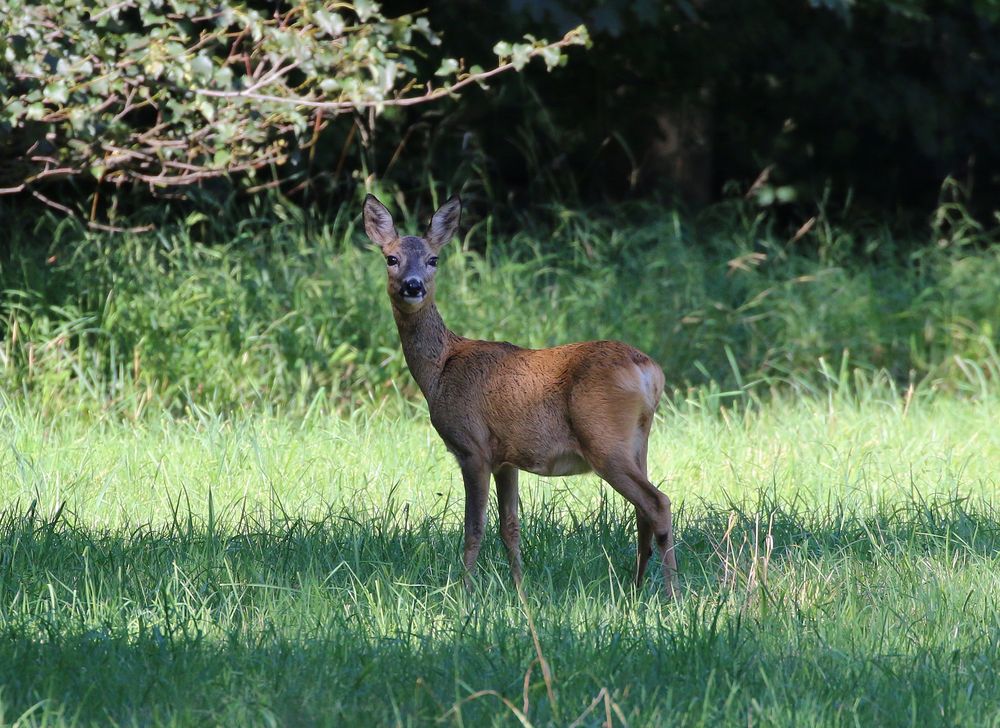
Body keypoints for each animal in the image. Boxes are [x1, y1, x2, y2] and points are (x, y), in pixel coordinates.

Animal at [364, 193, 676, 596]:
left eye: (433, 259)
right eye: (391, 258)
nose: (413, 285)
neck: (440, 370)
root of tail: (649, 372)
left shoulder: (472, 447)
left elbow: (474, 527)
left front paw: (464, 593)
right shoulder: (506, 458)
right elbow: (510, 527)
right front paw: (519, 590)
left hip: (604, 439)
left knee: (658, 503)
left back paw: (673, 594)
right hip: (638, 442)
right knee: (643, 512)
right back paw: (636, 590)